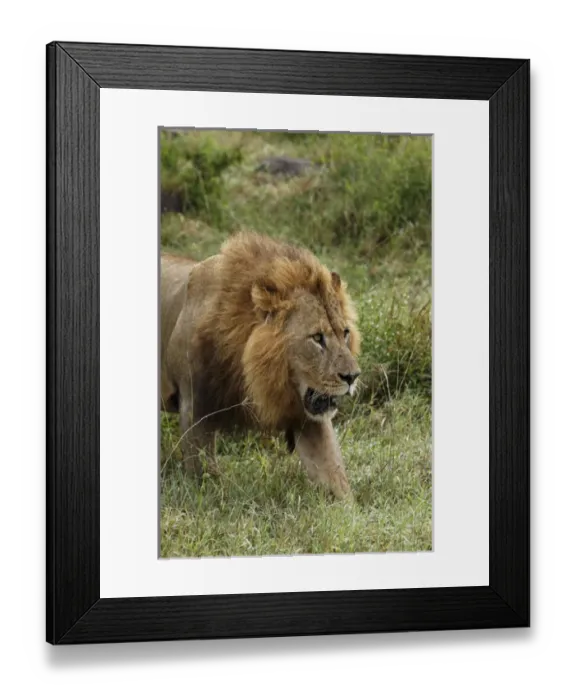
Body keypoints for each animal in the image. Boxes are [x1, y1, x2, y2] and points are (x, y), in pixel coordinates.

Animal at [160, 232, 361, 499]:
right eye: (317, 338)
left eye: (345, 333)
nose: (353, 376)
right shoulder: (193, 406)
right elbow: (205, 478)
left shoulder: (307, 416)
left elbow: (335, 477)